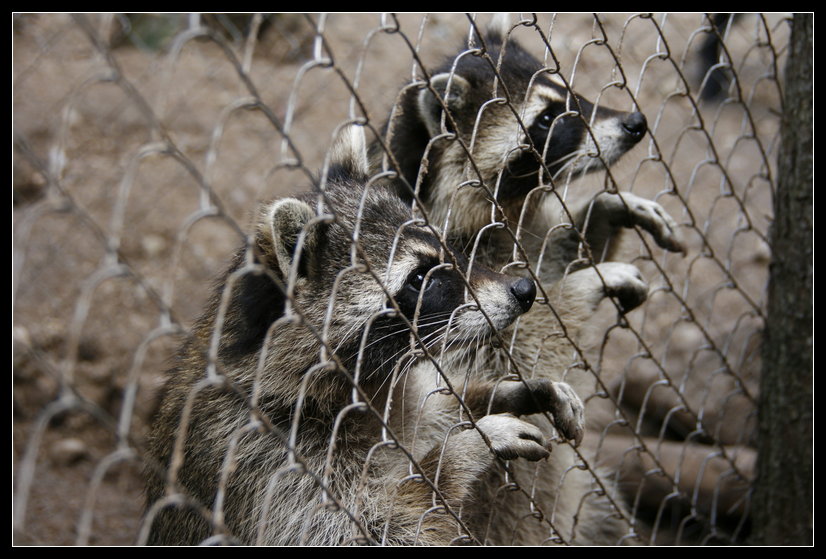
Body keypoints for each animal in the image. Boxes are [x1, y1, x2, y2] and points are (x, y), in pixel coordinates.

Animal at [143, 126, 584, 548]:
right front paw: (469, 444)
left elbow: (433, 414)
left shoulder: (394, 397)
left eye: (446, 245)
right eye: (419, 278)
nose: (524, 290)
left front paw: (507, 391)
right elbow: (381, 528)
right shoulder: (270, 462)